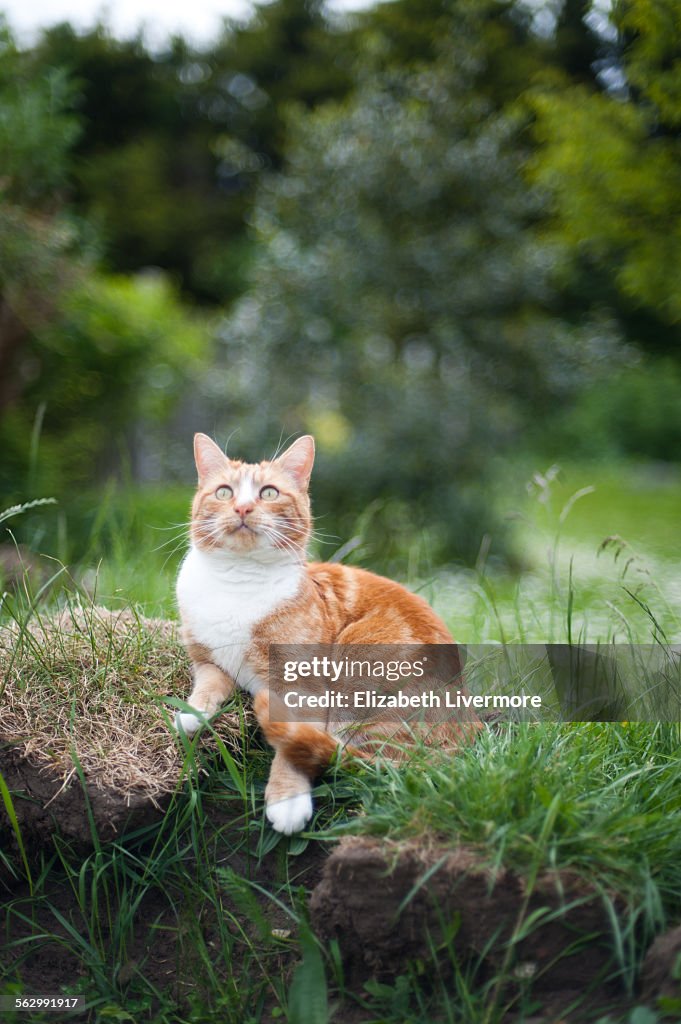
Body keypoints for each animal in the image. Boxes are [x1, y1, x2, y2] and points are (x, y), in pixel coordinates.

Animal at [178, 432, 481, 831]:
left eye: (269, 493)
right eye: (225, 492)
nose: (242, 509)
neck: (238, 583)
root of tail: (469, 727)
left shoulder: (302, 687)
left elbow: (291, 746)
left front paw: (288, 800)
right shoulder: (208, 661)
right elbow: (209, 687)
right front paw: (191, 713)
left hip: (356, 658)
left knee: (353, 756)